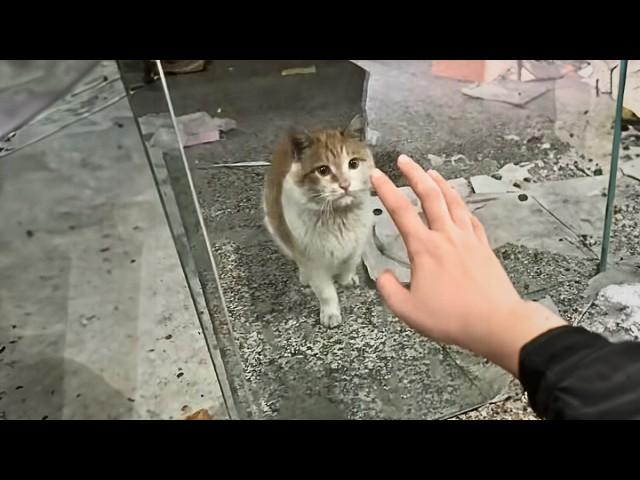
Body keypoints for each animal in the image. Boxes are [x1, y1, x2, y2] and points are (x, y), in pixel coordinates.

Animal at [264, 116, 376, 326]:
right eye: (323, 170)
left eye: (353, 163)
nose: (345, 185)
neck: (339, 217)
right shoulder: (313, 260)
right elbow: (326, 292)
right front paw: (330, 313)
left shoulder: (358, 243)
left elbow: (350, 263)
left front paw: (346, 278)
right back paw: (304, 275)